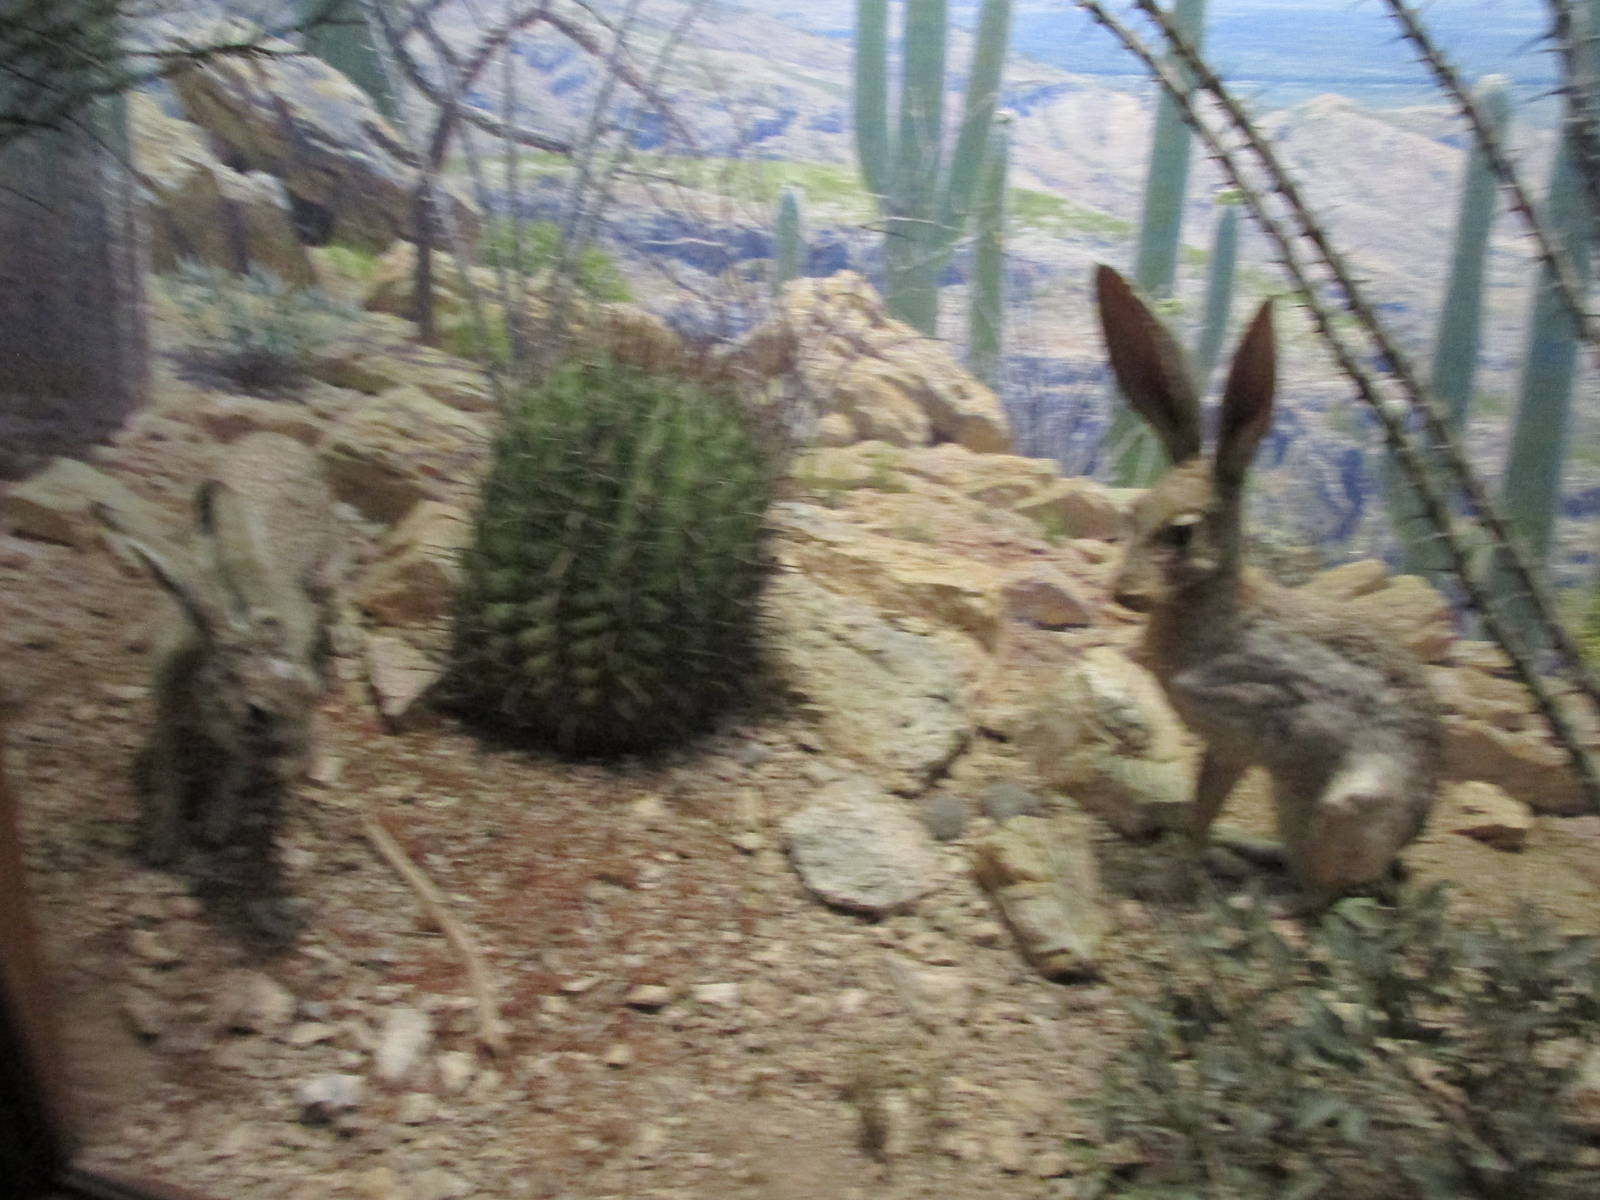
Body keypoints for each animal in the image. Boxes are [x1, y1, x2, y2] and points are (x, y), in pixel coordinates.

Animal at [95, 433, 342, 865]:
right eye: (257, 712)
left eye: (311, 693)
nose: (299, 766)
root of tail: (279, 438)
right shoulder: (166, 714)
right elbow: (168, 774)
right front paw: (163, 843)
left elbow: (232, 771)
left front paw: (216, 826)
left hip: (321, 567)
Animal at [1093, 265, 1440, 904]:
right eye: (1135, 514)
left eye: (1182, 532)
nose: (1125, 594)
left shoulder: (1239, 736)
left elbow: (1204, 810)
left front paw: (1169, 882)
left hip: (1339, 808)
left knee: (1323, 894)